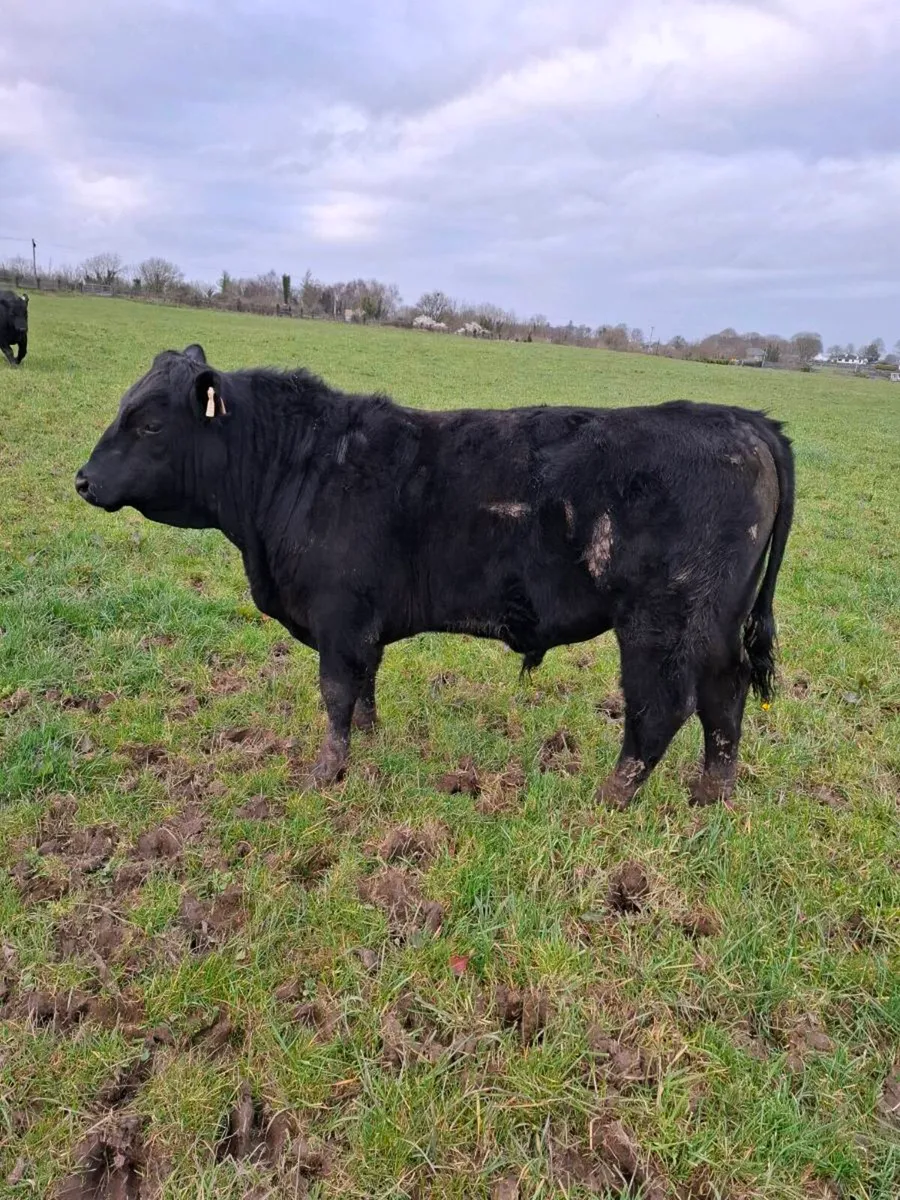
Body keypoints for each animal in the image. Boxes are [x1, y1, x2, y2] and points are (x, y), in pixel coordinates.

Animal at [75, 344, 794, 807]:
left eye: (148, 423)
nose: (82, 480)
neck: (299, 465)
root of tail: (742, 420)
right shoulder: (360, 625)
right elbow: (363, 689)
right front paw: (369, 748)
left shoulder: (339, 617)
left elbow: (335, 693)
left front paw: (324, 774)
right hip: (715, 621)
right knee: (725, 697)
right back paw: (711, 795)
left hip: (662, 620)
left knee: (661, 707)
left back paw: (609, 799)